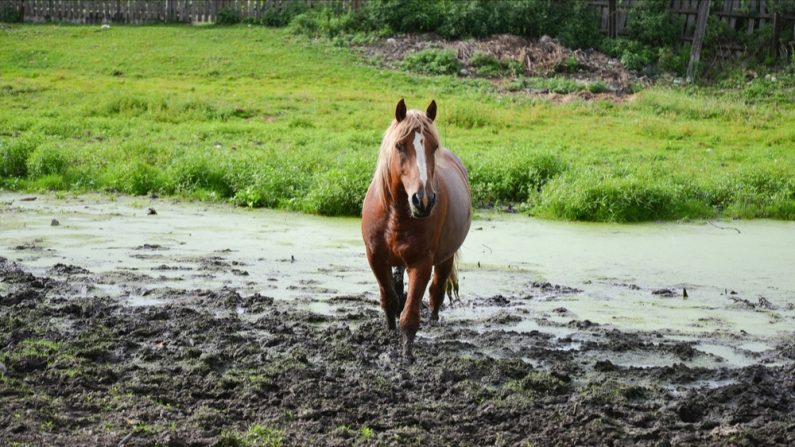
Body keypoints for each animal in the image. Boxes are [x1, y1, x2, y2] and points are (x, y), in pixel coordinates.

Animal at [362, 100, 472, 362]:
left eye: (434, 146)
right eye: (399, 145)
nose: (423, 200)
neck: (396, 215)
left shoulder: (421, 264)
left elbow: (410, 316)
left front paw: (406, 357)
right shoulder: (375, 258)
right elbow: (389, 299)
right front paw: (389, 332)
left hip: (445, 258)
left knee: (436, 291)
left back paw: (434, 321)